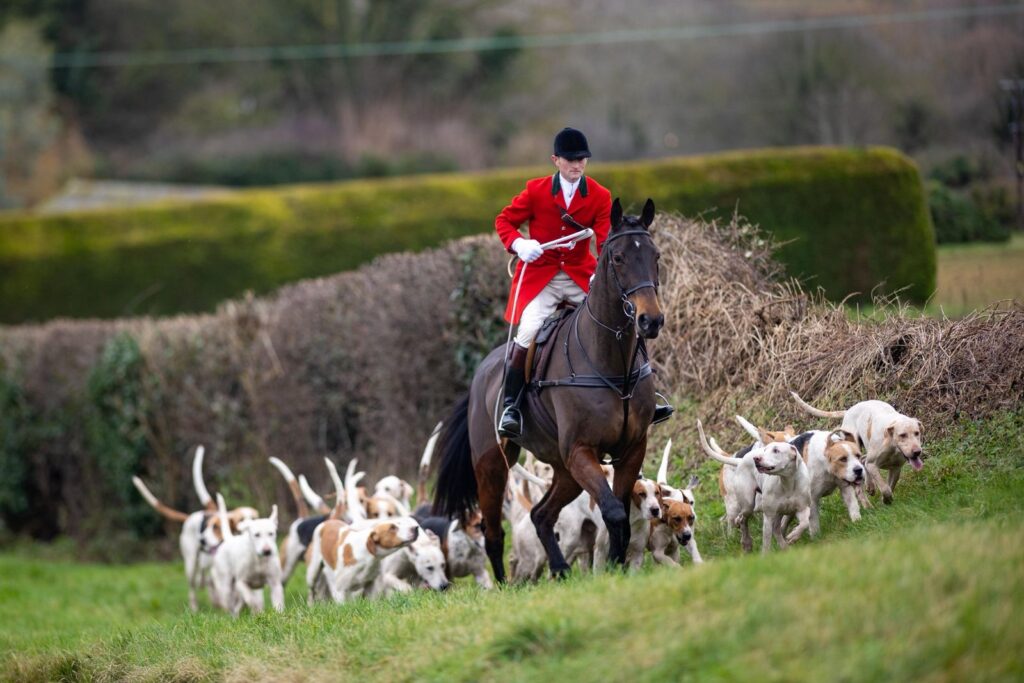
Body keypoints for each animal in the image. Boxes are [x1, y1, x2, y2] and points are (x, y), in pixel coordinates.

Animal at [434, 198, 663, 581]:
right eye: (618, 258)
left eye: (655, 255)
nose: (651, 321)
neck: (611, 362)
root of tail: (482, 371)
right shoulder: (582, 450)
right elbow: (613, 511)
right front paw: (611, 566)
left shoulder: (631, 449)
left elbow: (621, 512)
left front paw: (616, 564)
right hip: (493, 466)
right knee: (493, 532)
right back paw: (504, 585)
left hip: (563, 468)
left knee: (541, 515)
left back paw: (559, 568)